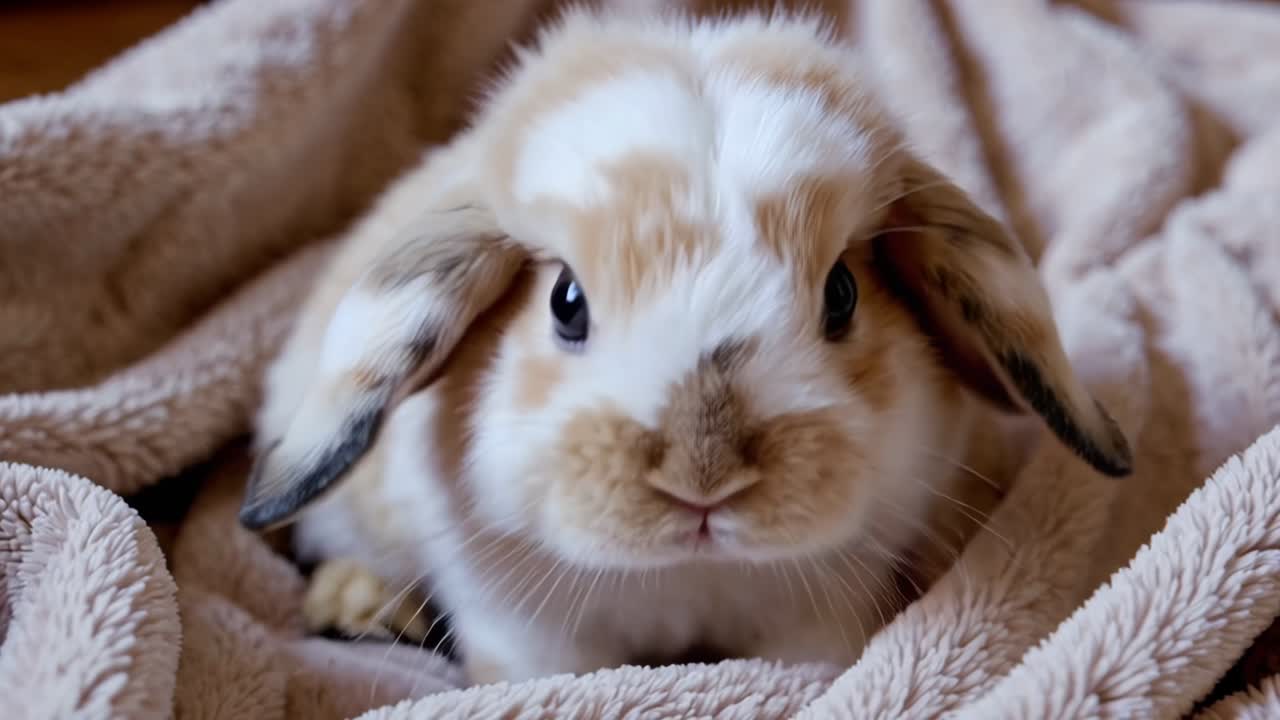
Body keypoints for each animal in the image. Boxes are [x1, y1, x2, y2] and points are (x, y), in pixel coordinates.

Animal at [237, 6, 1133, 684]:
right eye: (565, 303)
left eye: (843, 294)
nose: (703, 477)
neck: (688, 576)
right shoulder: (515, 625)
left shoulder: (823, 618)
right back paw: (362, 610)